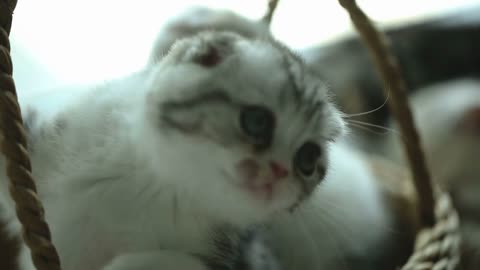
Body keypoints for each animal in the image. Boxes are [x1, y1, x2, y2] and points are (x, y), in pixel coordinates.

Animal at [0, 30, 390, 268]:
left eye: (307, 160)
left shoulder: (241, 256)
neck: (152, 185)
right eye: (257, 121)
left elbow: (164, 261)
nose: (279, 171)